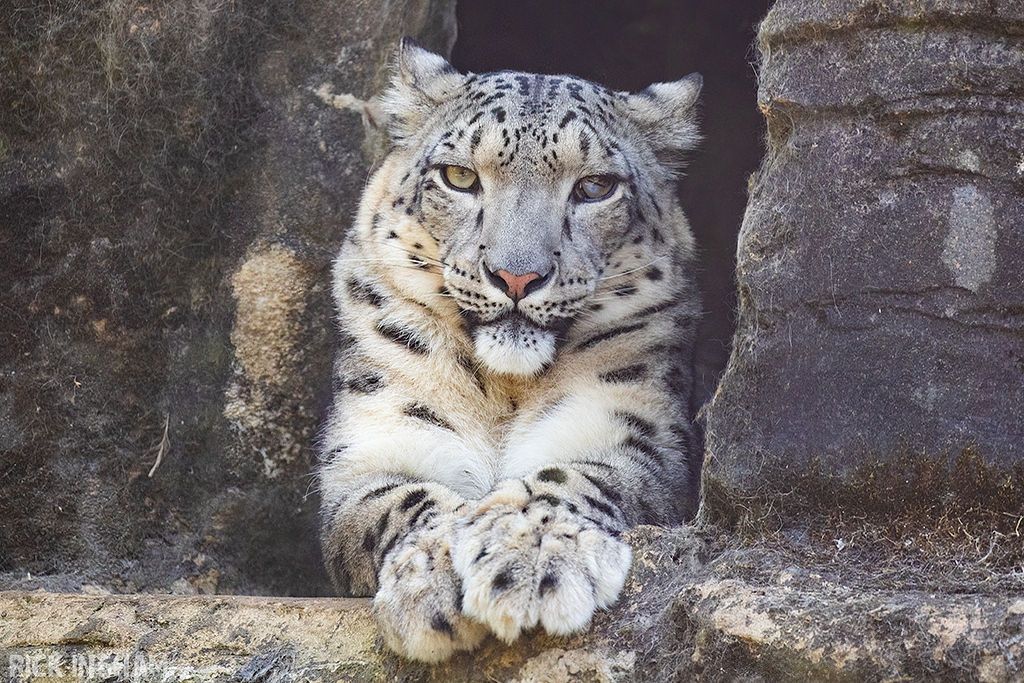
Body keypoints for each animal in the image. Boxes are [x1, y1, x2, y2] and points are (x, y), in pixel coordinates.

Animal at [318, 38, 703, 663]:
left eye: (595, 187)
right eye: (458, 176)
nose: (517, 276)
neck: (504, 391)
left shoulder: (629, 429)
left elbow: (569, 478)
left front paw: (533, 555)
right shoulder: (376, 443)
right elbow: (399, 500)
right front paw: (433, 573)